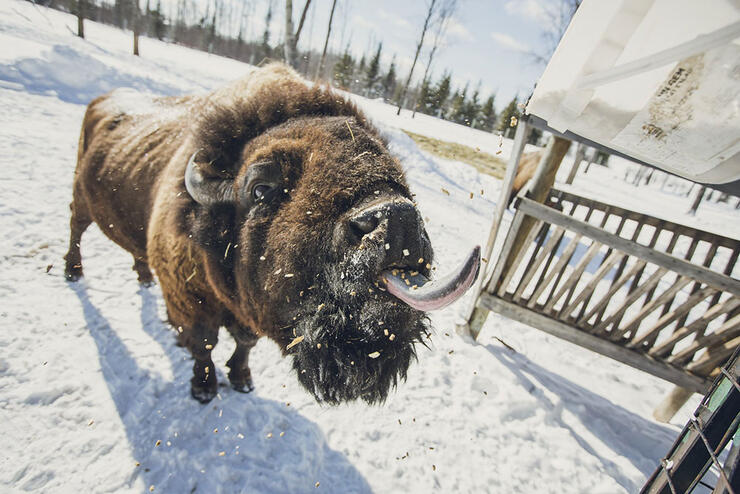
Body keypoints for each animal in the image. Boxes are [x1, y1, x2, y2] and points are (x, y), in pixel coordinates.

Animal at [64, 63, 479, 405]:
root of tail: (102, 101)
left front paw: (242, 380)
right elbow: (204, 344)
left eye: (396, 178)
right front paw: (204, 389)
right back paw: (72, 272)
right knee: (75, 228)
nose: (396, 219)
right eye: (261, 189)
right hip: (81, 199)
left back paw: (143, 277)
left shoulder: (249, 316)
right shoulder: (190, 302)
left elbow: (244, 343)